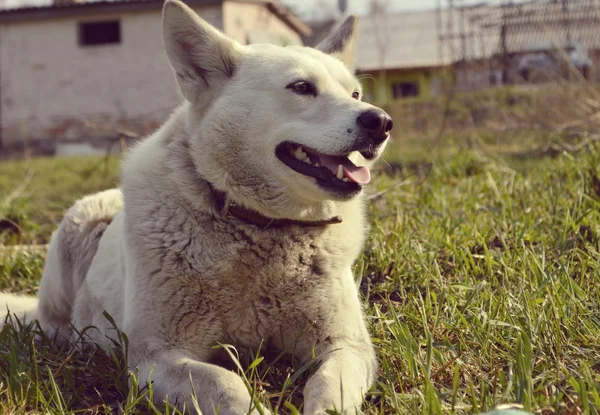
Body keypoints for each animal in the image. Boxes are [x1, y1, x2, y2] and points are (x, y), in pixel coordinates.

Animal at [1, 1, 394, 414]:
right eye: (301, 87)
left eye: (355, 93)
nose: (381, 121)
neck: (259, 226)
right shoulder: (156, 357)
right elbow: (225, 382)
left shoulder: (347, 346)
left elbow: (328, 388)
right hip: (81, 227)